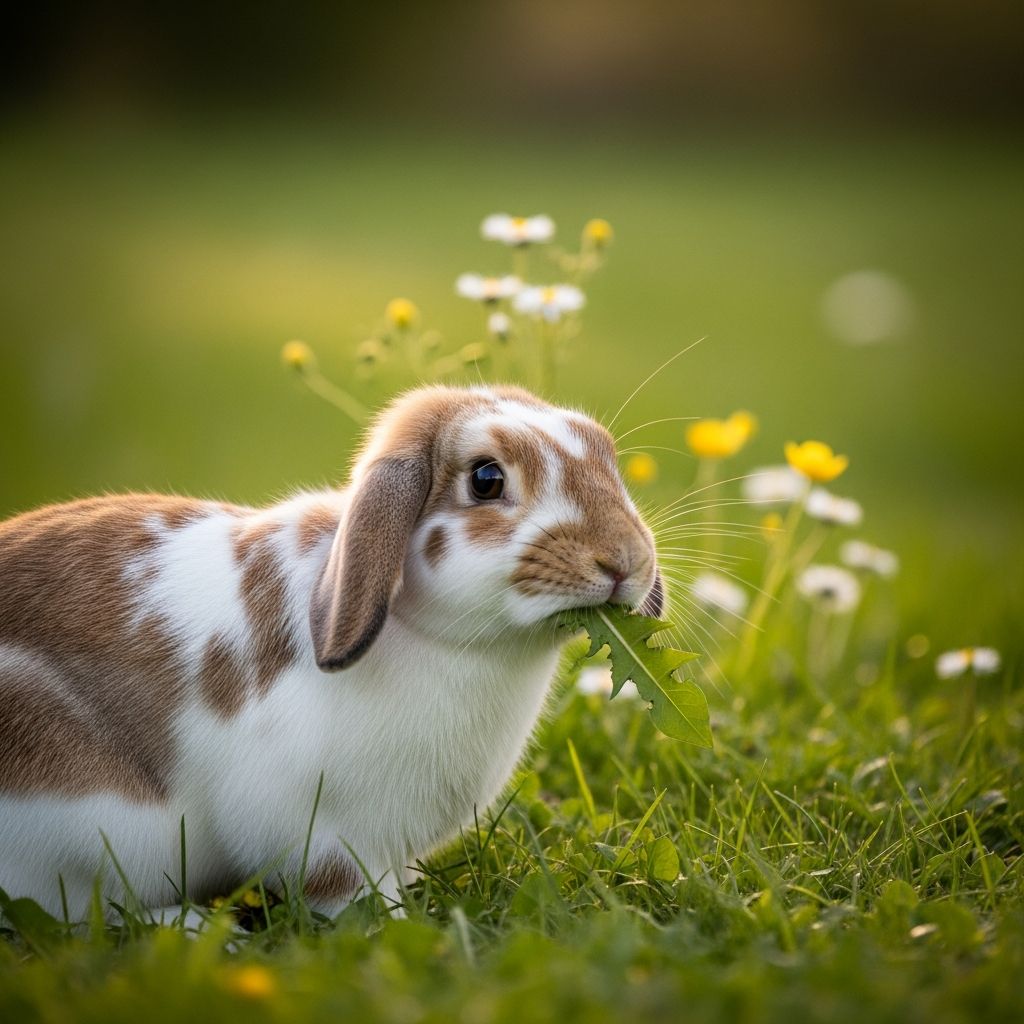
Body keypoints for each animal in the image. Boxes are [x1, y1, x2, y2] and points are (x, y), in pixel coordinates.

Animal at [0, 384, 663, 920]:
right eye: (486, 479)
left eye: (606, 456)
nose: (623, 560)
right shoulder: (322, 836)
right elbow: (348, 892)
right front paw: (397, 926)